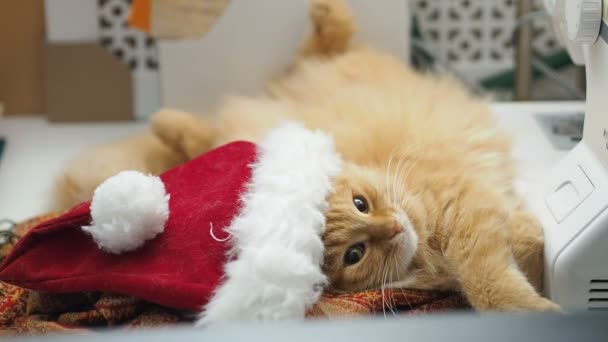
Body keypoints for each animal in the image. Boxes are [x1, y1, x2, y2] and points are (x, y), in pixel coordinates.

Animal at [54, 0, 560, 312]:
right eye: (356, 254)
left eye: (361, 203)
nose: (394, 228)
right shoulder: (468, 222)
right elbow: (490, 278)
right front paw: (532, 291)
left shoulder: (465, 206)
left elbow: (492, 271)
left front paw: (531, 273)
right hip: (250, 118)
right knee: (207, 132)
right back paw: (167, 120)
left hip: (311, 74)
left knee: (323, 45)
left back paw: (325, 10)